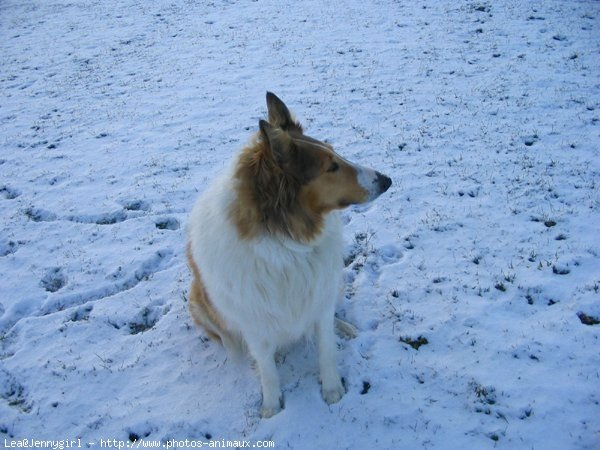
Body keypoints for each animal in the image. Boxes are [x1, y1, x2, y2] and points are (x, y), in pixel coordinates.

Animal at [189, 92, 394, 418]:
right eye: (331, 168)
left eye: (335, 154)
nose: (386, 180)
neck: (285, 243)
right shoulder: (254, 322)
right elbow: (268, 370)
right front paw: (272, 407)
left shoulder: (319, 297)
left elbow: (326, 348)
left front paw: (333, 391)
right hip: (198, 300)